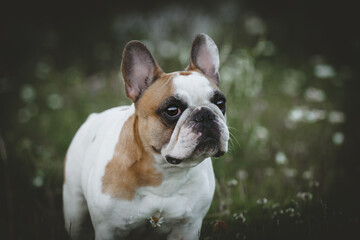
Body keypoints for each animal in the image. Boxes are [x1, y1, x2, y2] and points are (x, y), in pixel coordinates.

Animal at [63, 32, 229, 239]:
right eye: (172, 110)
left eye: (221, 103)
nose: (205, 114)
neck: (165, 173)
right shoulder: (108, 229)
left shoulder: (188, 228)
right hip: (74, 208)